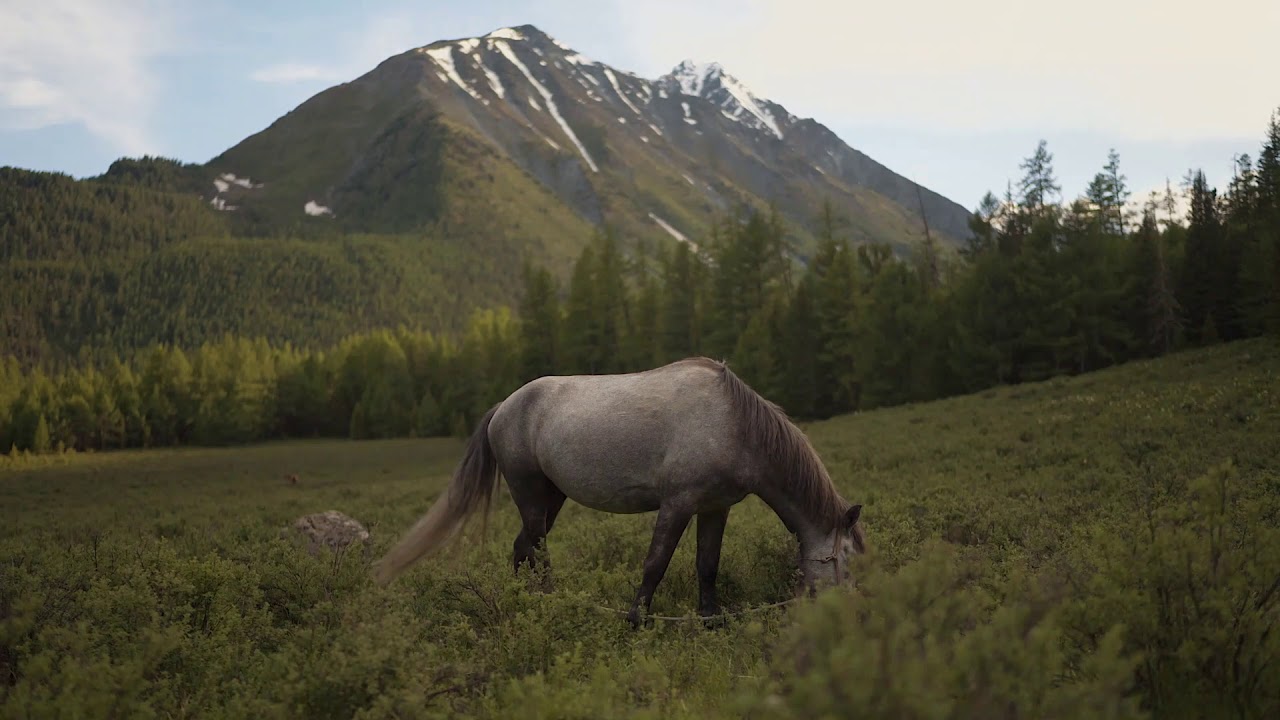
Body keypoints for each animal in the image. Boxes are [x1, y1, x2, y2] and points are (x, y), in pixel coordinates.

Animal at [372, 356, 866, 627]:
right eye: (844, 558)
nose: (850, 612)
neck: (734, 424)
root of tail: (504, 407)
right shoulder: (677, 505)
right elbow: (655, 565)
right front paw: (637, 621)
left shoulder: (714, 509)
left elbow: (707, 566)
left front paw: (710, 622)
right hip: (530, 495)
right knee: (537, 549)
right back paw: (549, 603)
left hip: (552, 498)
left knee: (521, 548)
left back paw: (524, 603)